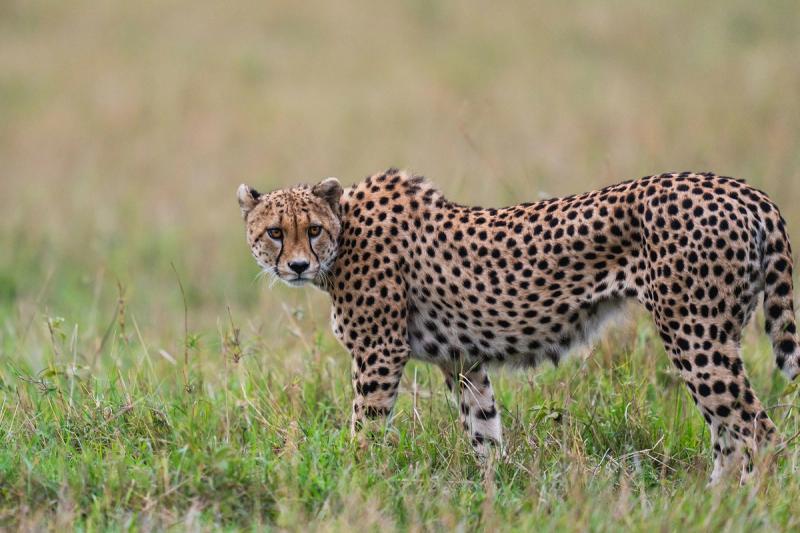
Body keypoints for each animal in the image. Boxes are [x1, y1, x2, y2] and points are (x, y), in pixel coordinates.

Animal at [237, 168, 798, 484]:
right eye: (274, 232)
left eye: (312, 229)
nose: (297, 266)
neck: (344, 236)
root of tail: (742, 190)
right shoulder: (462, 360)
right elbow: (484, 431)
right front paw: (493, 491)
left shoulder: (379, 353)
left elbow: (366, 430)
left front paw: (357, 481)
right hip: (711, 335)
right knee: (730, 435)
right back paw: (713, 504)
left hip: (695, 334)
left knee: (759, 431)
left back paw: (743, 506)